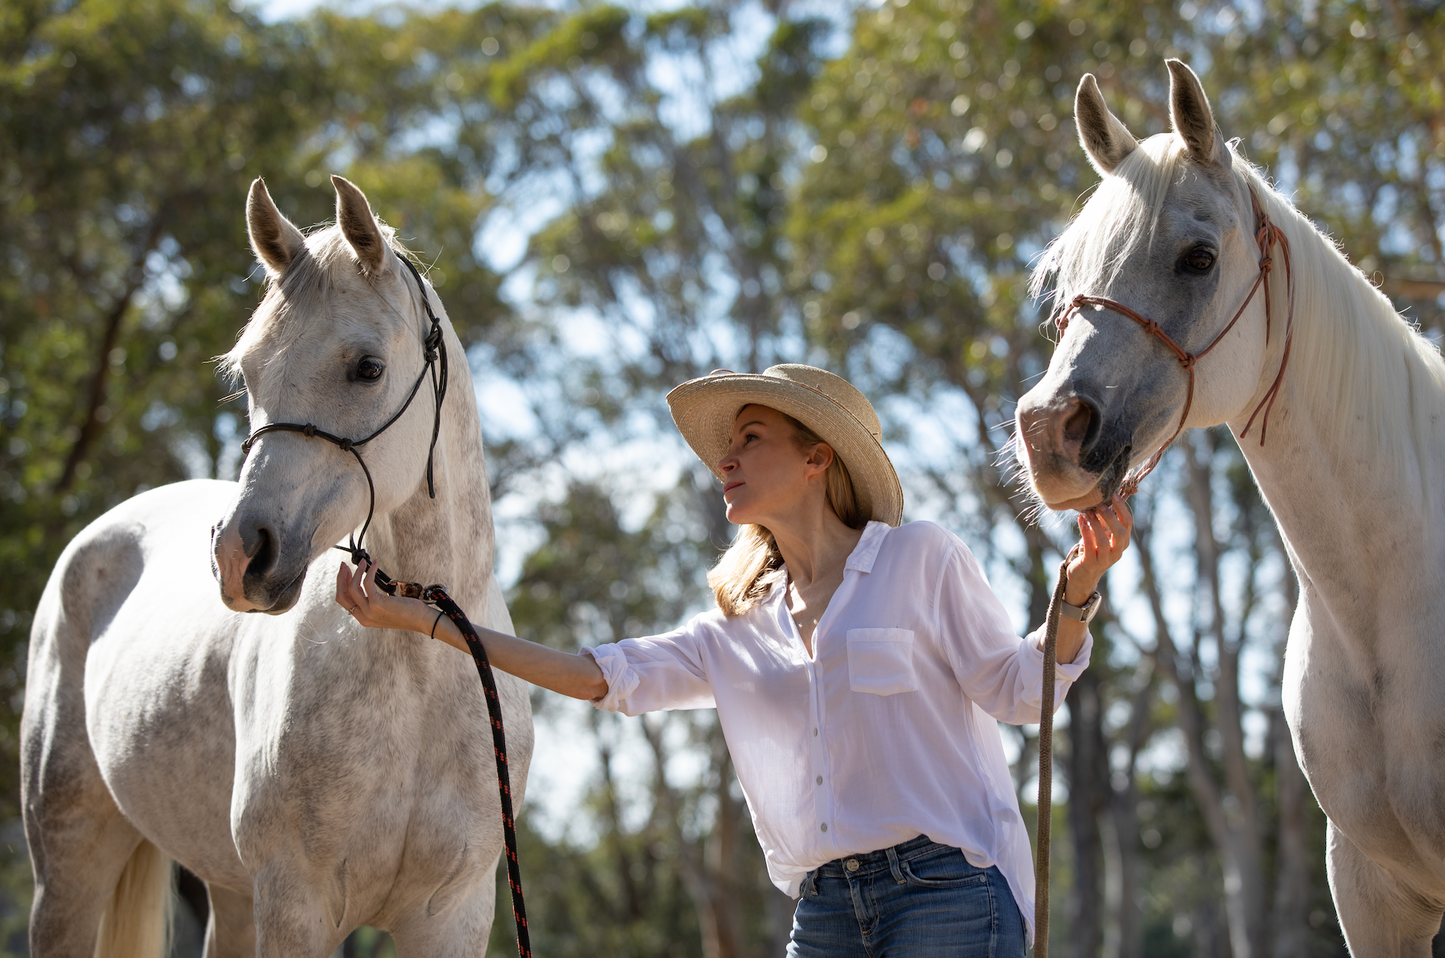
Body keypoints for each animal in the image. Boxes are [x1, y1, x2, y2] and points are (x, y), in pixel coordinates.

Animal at [22, 176, 534, 953]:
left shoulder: (452, 914)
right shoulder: (296, 904)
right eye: (248, 372)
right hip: (69, 866)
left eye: (367, 367)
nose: (240, 554)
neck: (420, 672)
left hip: (230, 895)